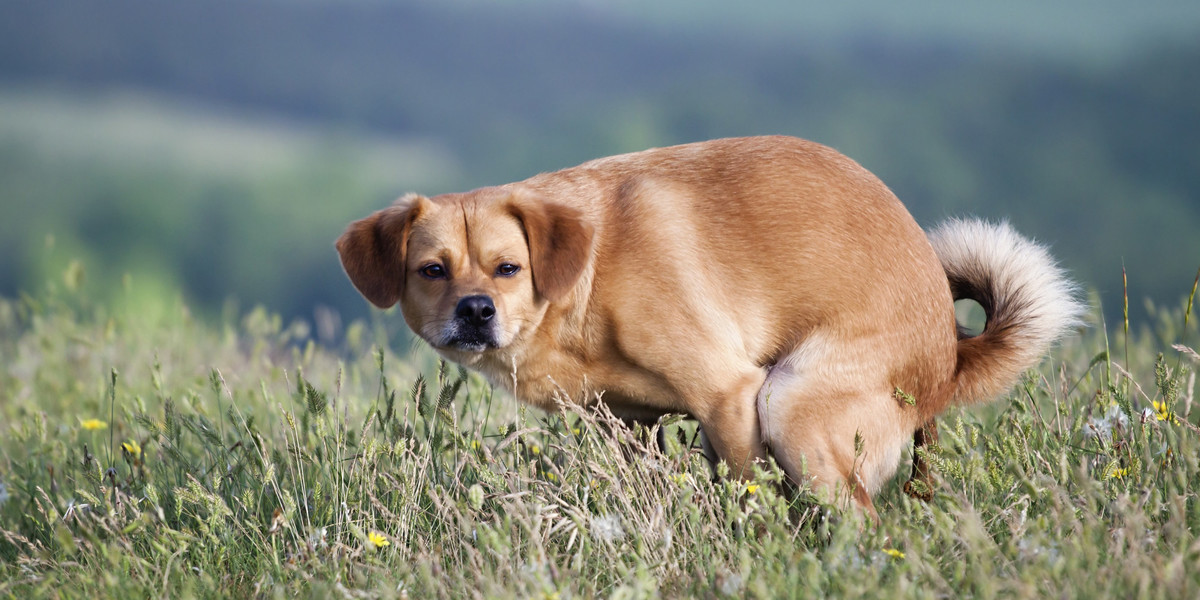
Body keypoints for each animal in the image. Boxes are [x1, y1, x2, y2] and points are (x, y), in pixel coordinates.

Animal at [333, 135, 1084, 511]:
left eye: (507, 268)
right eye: (433, 270)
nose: (476, 310)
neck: (585, 279)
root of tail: (950, 356)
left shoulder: (729, 395)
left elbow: (749, 489)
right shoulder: (626, 423)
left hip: (791, 403)